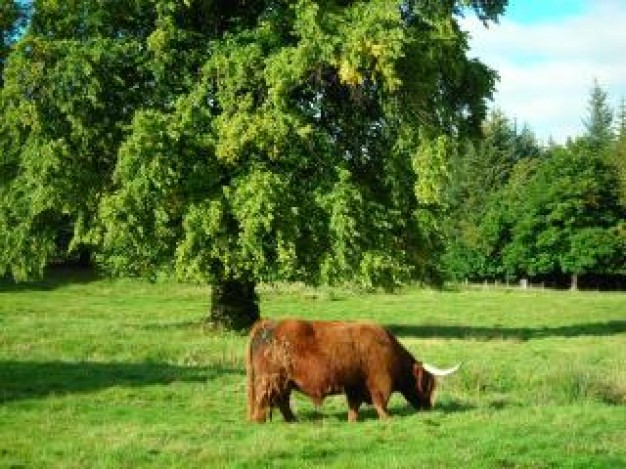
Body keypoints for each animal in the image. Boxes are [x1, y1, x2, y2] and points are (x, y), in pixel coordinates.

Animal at [245, 318, 458, 420]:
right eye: (428, 385)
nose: (428, 407)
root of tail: (267, 324)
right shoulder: (380, 381)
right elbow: (381, 402)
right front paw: (388, 419)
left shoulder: (355, 385)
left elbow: (354, 406)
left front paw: (352, 421)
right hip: (271, 379)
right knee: (266, 400)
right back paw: (260, 421)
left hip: (284, 382)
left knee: (282, 401)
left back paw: (292, 420)